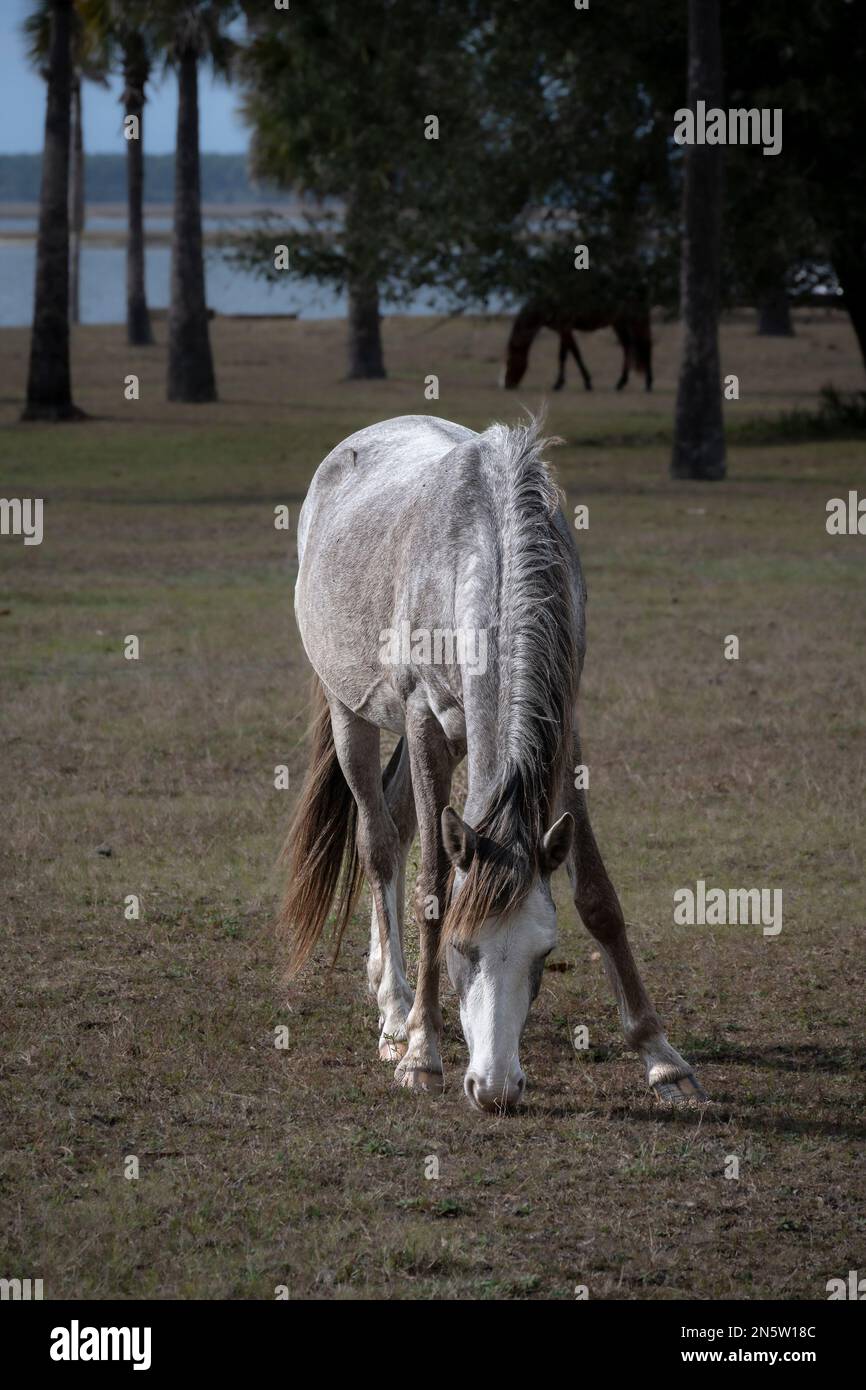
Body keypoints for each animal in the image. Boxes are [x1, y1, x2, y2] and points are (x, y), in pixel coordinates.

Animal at [280, 414, 708, 1117]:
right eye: (462, 947)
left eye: (545, 951)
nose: (496, 1088)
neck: (489, 545)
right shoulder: (423, 718)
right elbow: (432, 886)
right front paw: (422, 1052)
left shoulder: (562, 732)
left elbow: (596, 894)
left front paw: (662, 1059)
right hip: (352, 711)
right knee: (378, 840)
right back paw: (396, 1011)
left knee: (396, 822)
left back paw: (383, 977)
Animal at [505, 300, 653, 391]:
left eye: (509, 361)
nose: (508, 384)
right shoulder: (563, 330)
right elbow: (568, 354)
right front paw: (565, 382)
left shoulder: (565, 328)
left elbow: (571, 354)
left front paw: (564, 384)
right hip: (619, 322)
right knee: (627, 346)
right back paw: (621, 383)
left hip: (635, 321)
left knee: (645, 346)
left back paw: (648, 384)